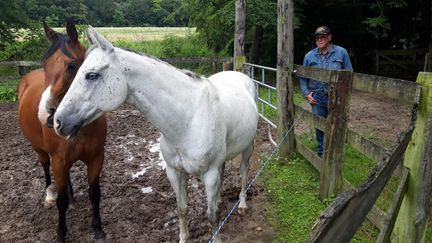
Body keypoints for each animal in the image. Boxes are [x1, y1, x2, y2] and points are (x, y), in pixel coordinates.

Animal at [17, 20, 107, 243]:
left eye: (72, 65)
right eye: (44, 64)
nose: (45, 114)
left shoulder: (96, 157)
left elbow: (94, 193)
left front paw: (98, 230)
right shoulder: (58, 160)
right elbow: (61, 202)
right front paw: (61, 234)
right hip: (40, 150)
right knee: (45, 167)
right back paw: (49, 195)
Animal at [52, 25, 258, 242]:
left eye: (92, 75)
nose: (58, 121)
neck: (188, 120)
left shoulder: (209, 175)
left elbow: (211, 216)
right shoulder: (174, 172)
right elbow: (182, 209)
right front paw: (183, 237)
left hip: (248, 147)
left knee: (244, 172)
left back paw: (242, 204)